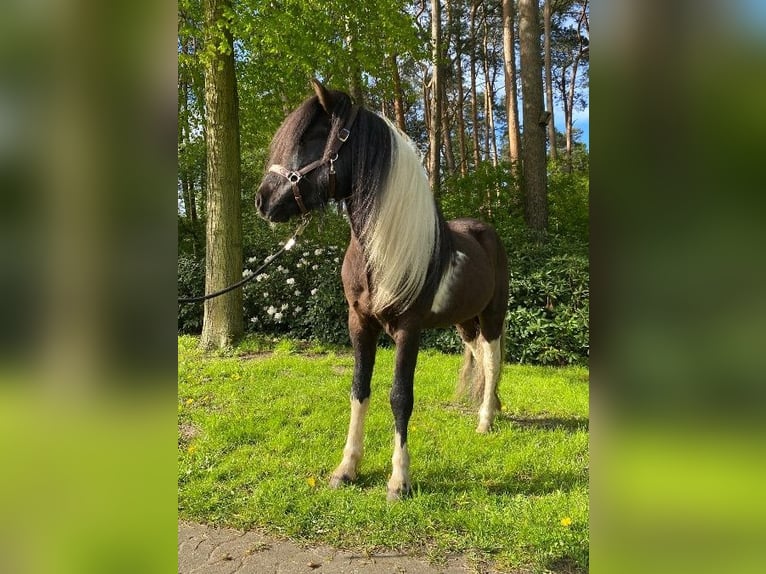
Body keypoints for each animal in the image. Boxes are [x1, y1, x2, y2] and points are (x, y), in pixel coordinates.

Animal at [256, 80, 508, 501]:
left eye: (311, 137)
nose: (263, 200)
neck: (380, 248)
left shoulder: (409, 329)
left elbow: (400, 396)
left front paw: (399, 480)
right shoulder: (359, 322)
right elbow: (359, 390)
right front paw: (346, 469)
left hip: (491, 315)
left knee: (491, 359)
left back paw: (486, 420)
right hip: (463, 322)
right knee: (480, 358)